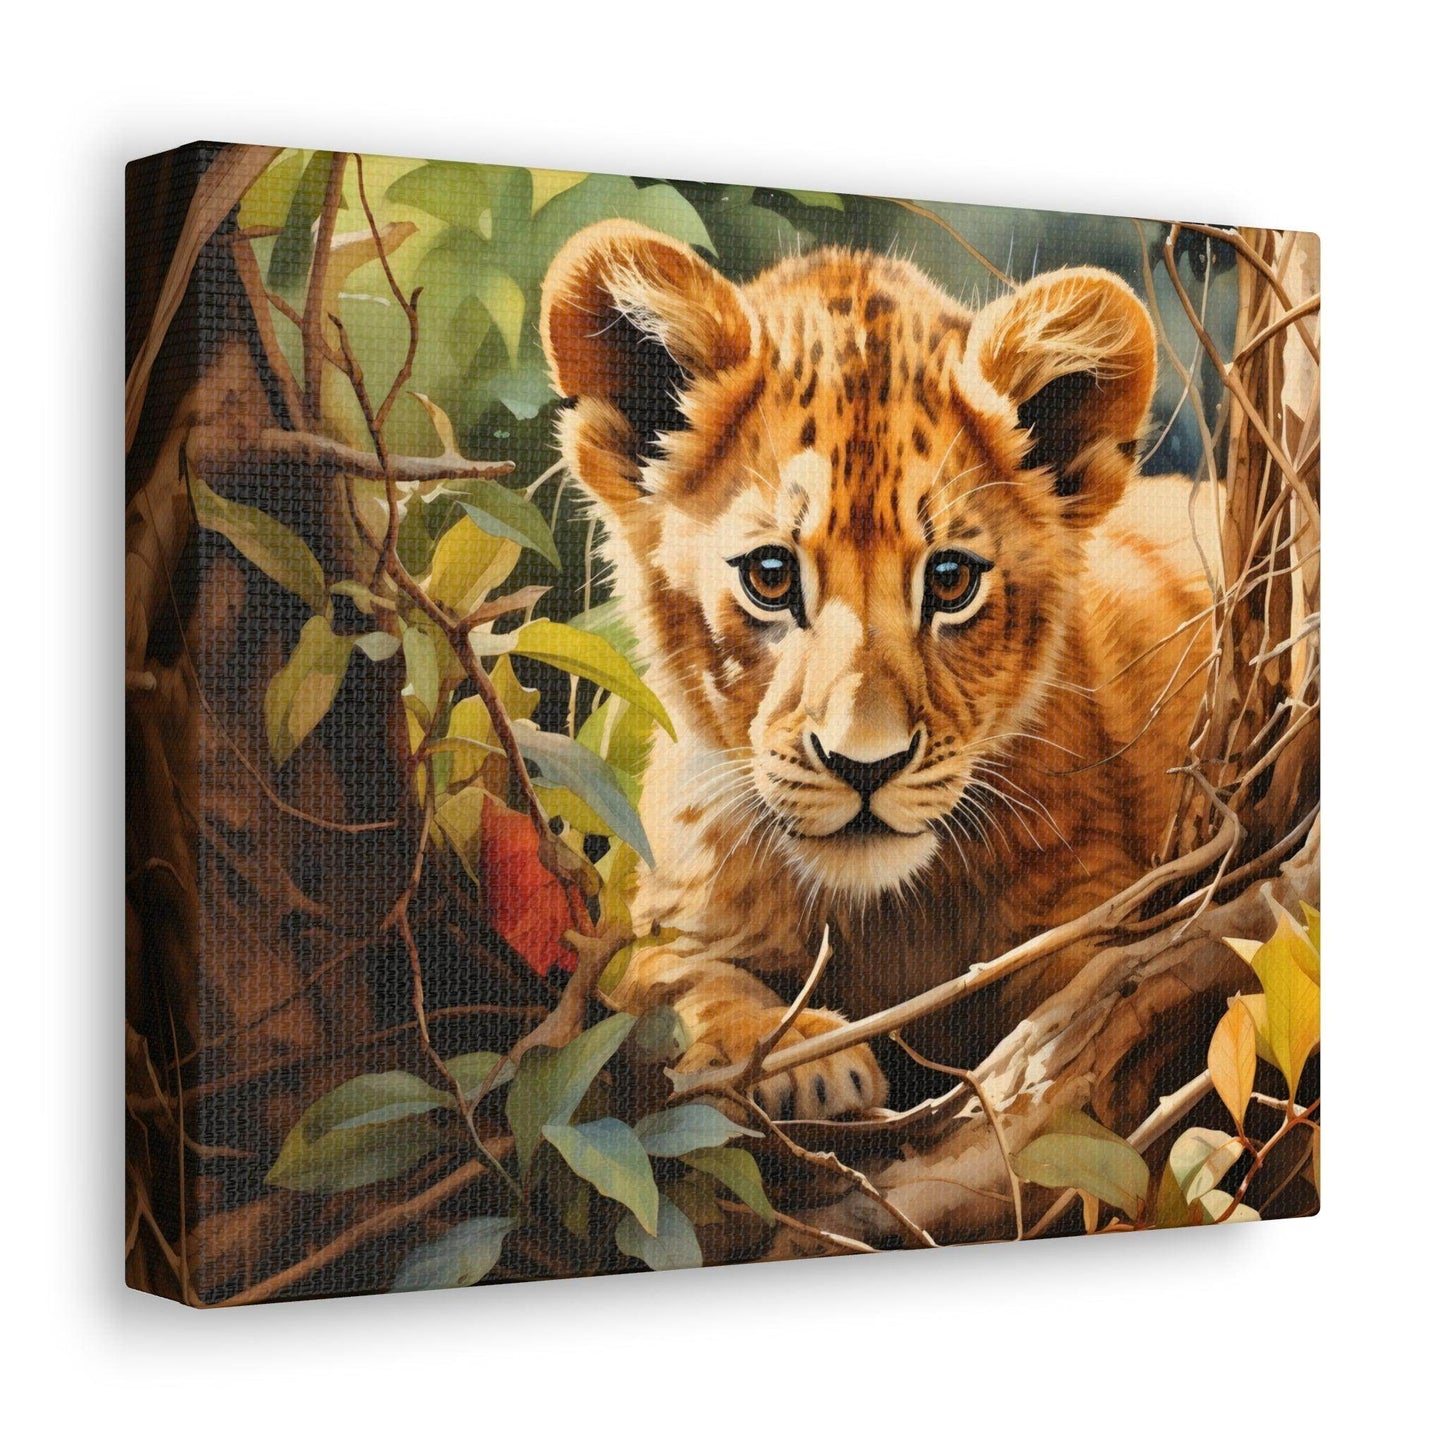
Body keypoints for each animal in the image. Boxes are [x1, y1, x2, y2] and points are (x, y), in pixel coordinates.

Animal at [541, 220, 1220, 1118]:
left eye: (951, 579)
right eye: (770, 574)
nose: (866, 764)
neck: (882, 917)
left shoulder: (1096, 902)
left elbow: (1104, 990)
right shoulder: (666, 912)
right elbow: (665, 975)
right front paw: (794, 1055)